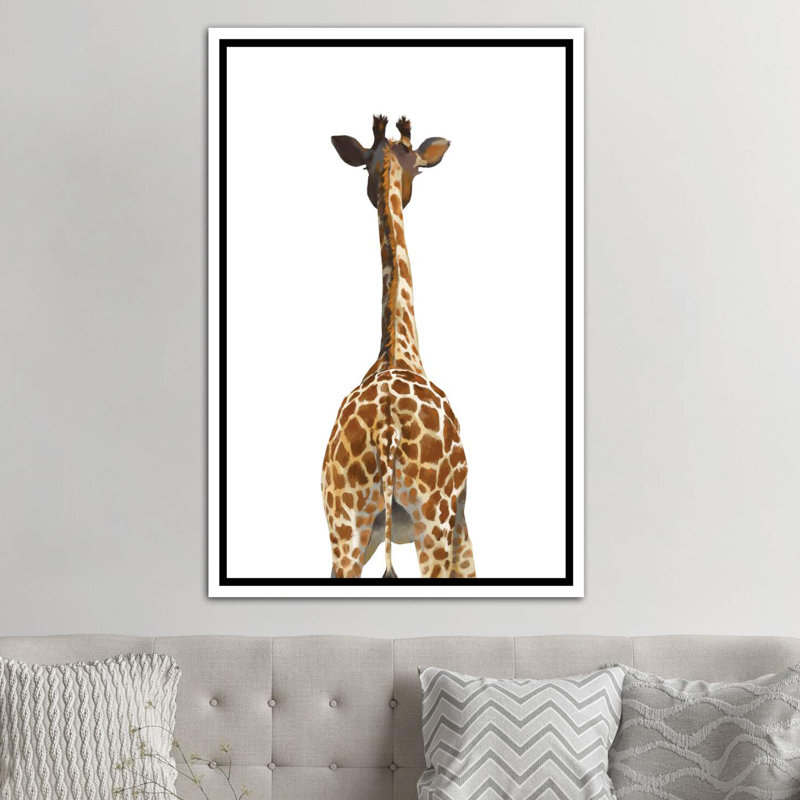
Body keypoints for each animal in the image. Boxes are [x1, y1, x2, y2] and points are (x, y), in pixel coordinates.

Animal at [322, 115, 476, 580]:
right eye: (419, 170)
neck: (400, 350)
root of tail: (387, 430)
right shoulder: (463, 524)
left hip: (345, 531)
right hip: (434, 522)